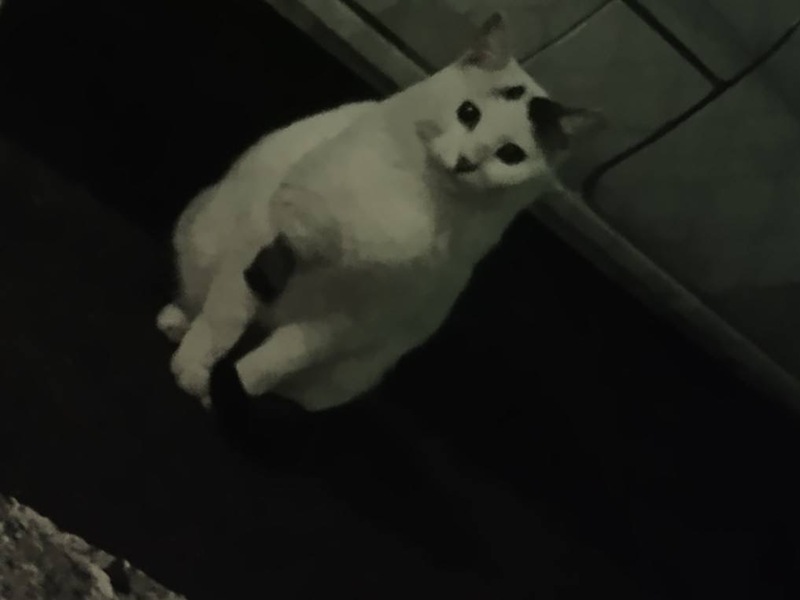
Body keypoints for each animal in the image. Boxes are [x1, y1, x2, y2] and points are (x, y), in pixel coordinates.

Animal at [159, 12, 604, 412]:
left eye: (511, 154)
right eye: (468, 113)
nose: (465, 162)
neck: (414, 200)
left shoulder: (350, 319)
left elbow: (277, 359)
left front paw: (235, 385)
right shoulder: (269, 240)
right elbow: (224, 319)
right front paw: (193, 374)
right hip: (205, 235)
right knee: (199, 301)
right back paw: (177, 323)